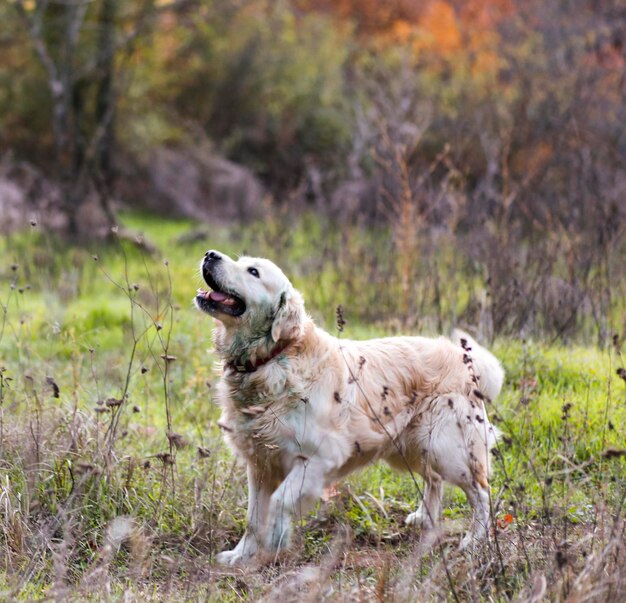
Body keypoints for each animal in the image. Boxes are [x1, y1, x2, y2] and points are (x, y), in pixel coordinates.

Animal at [195, 250, 502, 568]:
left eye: (253, 271)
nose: (210, 254)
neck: (272, 359)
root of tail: (463, 357)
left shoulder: (318, 459)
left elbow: (279, 502)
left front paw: (276, 541)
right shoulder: (260, 464)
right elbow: (253, 518)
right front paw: (240, 555)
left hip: (448, 449)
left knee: (481, 492)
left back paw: (474, 541)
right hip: (412, 447)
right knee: (435, 479)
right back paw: (423, 518)